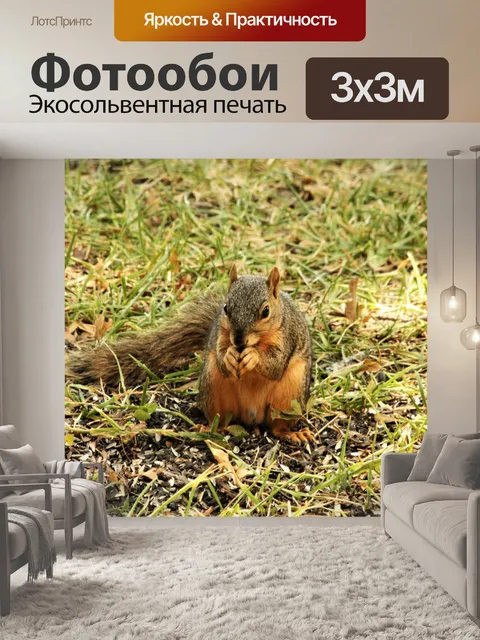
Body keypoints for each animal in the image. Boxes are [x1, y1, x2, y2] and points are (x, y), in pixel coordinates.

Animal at [68, 265, 314, 444]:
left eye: (266, 311)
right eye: (226, 308)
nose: (239, 341)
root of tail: (251, 417)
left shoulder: (287, 337)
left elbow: (275, 364)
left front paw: (253, 356)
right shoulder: (220, 336)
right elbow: (223, 357)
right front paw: (229, 356)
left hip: (289, 395)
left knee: (277, 427)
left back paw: (292, 433)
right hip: (213, 385)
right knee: (221, 420)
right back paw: (208, 427)